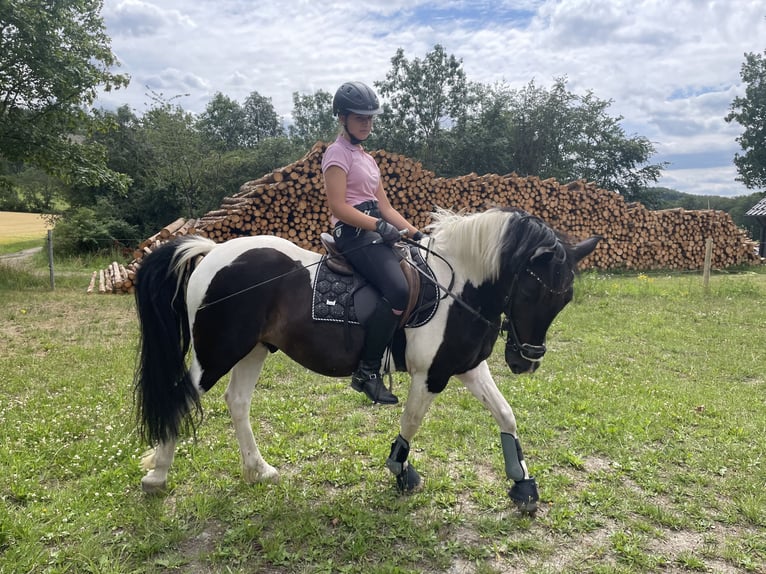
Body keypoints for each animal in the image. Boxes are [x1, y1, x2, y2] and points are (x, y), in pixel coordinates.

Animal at [134, 209, 600, 516]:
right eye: (532, 293)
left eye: (565, 299)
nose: (526, 361)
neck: (457, 288)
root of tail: (212, 250)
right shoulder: (430, 375)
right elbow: (411, 421)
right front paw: (401, 469)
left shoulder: (468, 368)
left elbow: (506, 415)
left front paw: (523, 485)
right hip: (218, 352)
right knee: (182, 396)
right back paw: (157, 477)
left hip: (254, 349)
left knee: (237, 402)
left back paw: (259, 470)